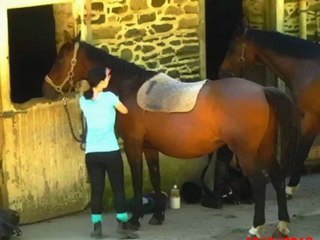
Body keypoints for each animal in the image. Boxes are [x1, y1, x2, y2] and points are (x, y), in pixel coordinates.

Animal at [41, 31, 298, 238]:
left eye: (60, 58)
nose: (45, 89)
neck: (130, 88)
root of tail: (262, 91)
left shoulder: (134, 144)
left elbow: (137, 180)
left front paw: (134, 220)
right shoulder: (149, 146)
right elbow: (155, 178)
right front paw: (157, 216)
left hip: (246, 152)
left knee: (259, 182)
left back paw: (256, 227)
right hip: (265, 147)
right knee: (276, 177)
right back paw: (282, 225)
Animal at [221, 27, 320, 199]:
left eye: (232, 48)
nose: (222, 72)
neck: (308, 70)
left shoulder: (311, 118)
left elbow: (302, 151)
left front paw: (290, 187)